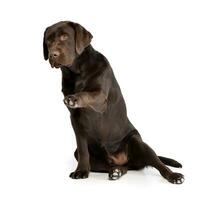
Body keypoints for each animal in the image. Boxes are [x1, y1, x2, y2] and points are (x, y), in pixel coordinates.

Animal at [43, 21, 184, 184]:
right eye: (48, 41)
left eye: (65, 36)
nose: (52, 54)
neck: (77, 72)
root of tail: (120, 159)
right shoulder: (76, 121)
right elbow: (83, 150)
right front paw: (81, 171)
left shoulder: (100, 100)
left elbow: (88, 94)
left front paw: (74, 98)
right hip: (82, 154)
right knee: (117, 167)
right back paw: (117, 171)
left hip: (137, 142)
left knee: (158, 163)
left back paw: (173, 176)